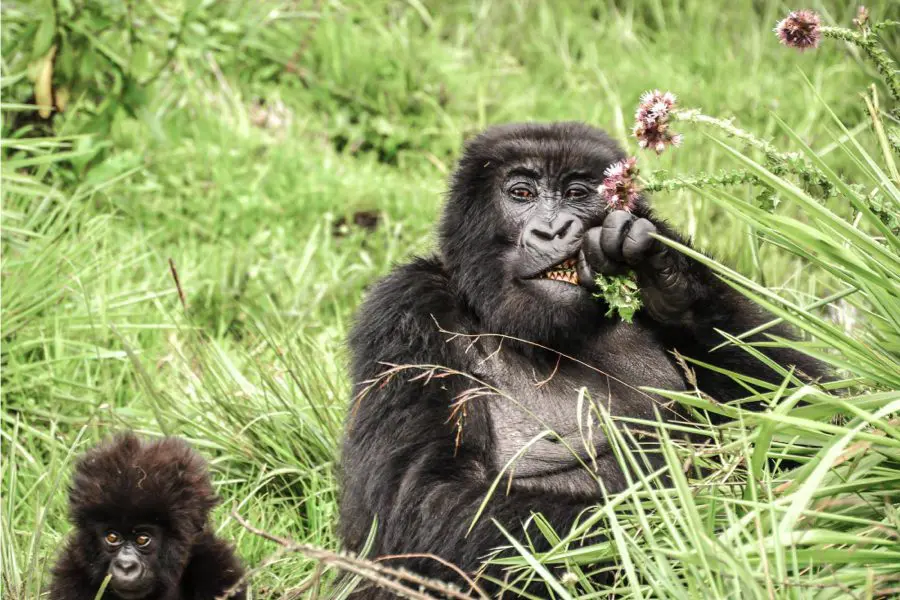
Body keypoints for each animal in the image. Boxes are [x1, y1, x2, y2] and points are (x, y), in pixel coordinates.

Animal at [340, 120, 824, 596]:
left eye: (576, 193)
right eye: (521, 193)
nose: (553, 231)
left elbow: (805, 404)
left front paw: (667, 273)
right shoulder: (407, 310)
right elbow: (427, 502)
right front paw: (704, 526)